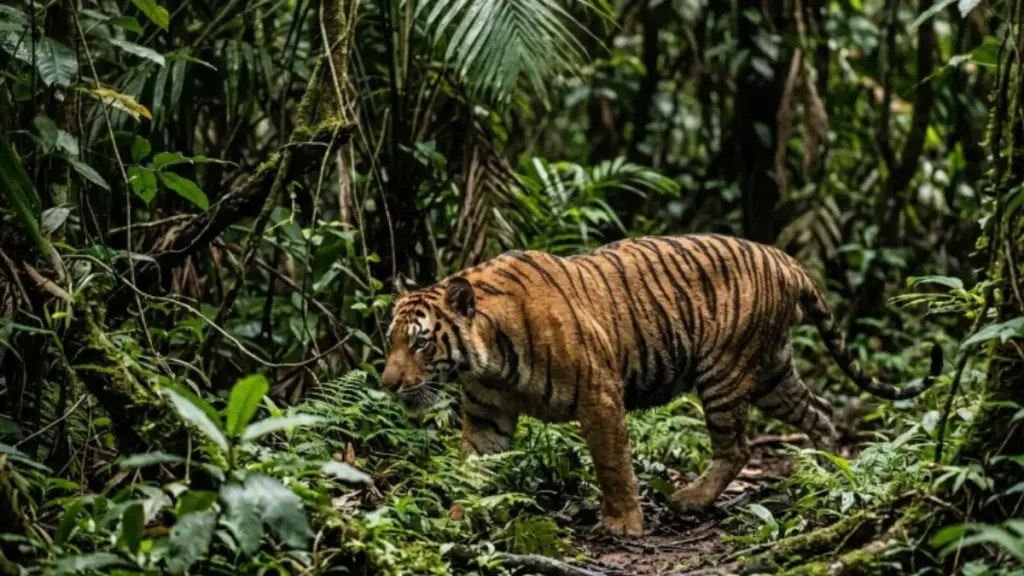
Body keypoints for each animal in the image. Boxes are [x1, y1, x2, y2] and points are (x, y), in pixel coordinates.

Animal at [380, 233, 943, 536]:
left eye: (422, 343)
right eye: (391, 342)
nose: (387, 384)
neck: (485, 358)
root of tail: (783, 257)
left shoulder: (600, 394)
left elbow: (613, 465)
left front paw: (624, 524)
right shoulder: (485, 416)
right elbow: (470, 471)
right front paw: (456, 519)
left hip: (724, 370)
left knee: (737, 446)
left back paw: (690, 500)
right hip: (773, 373)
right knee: (820, 411)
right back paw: (830, 472)